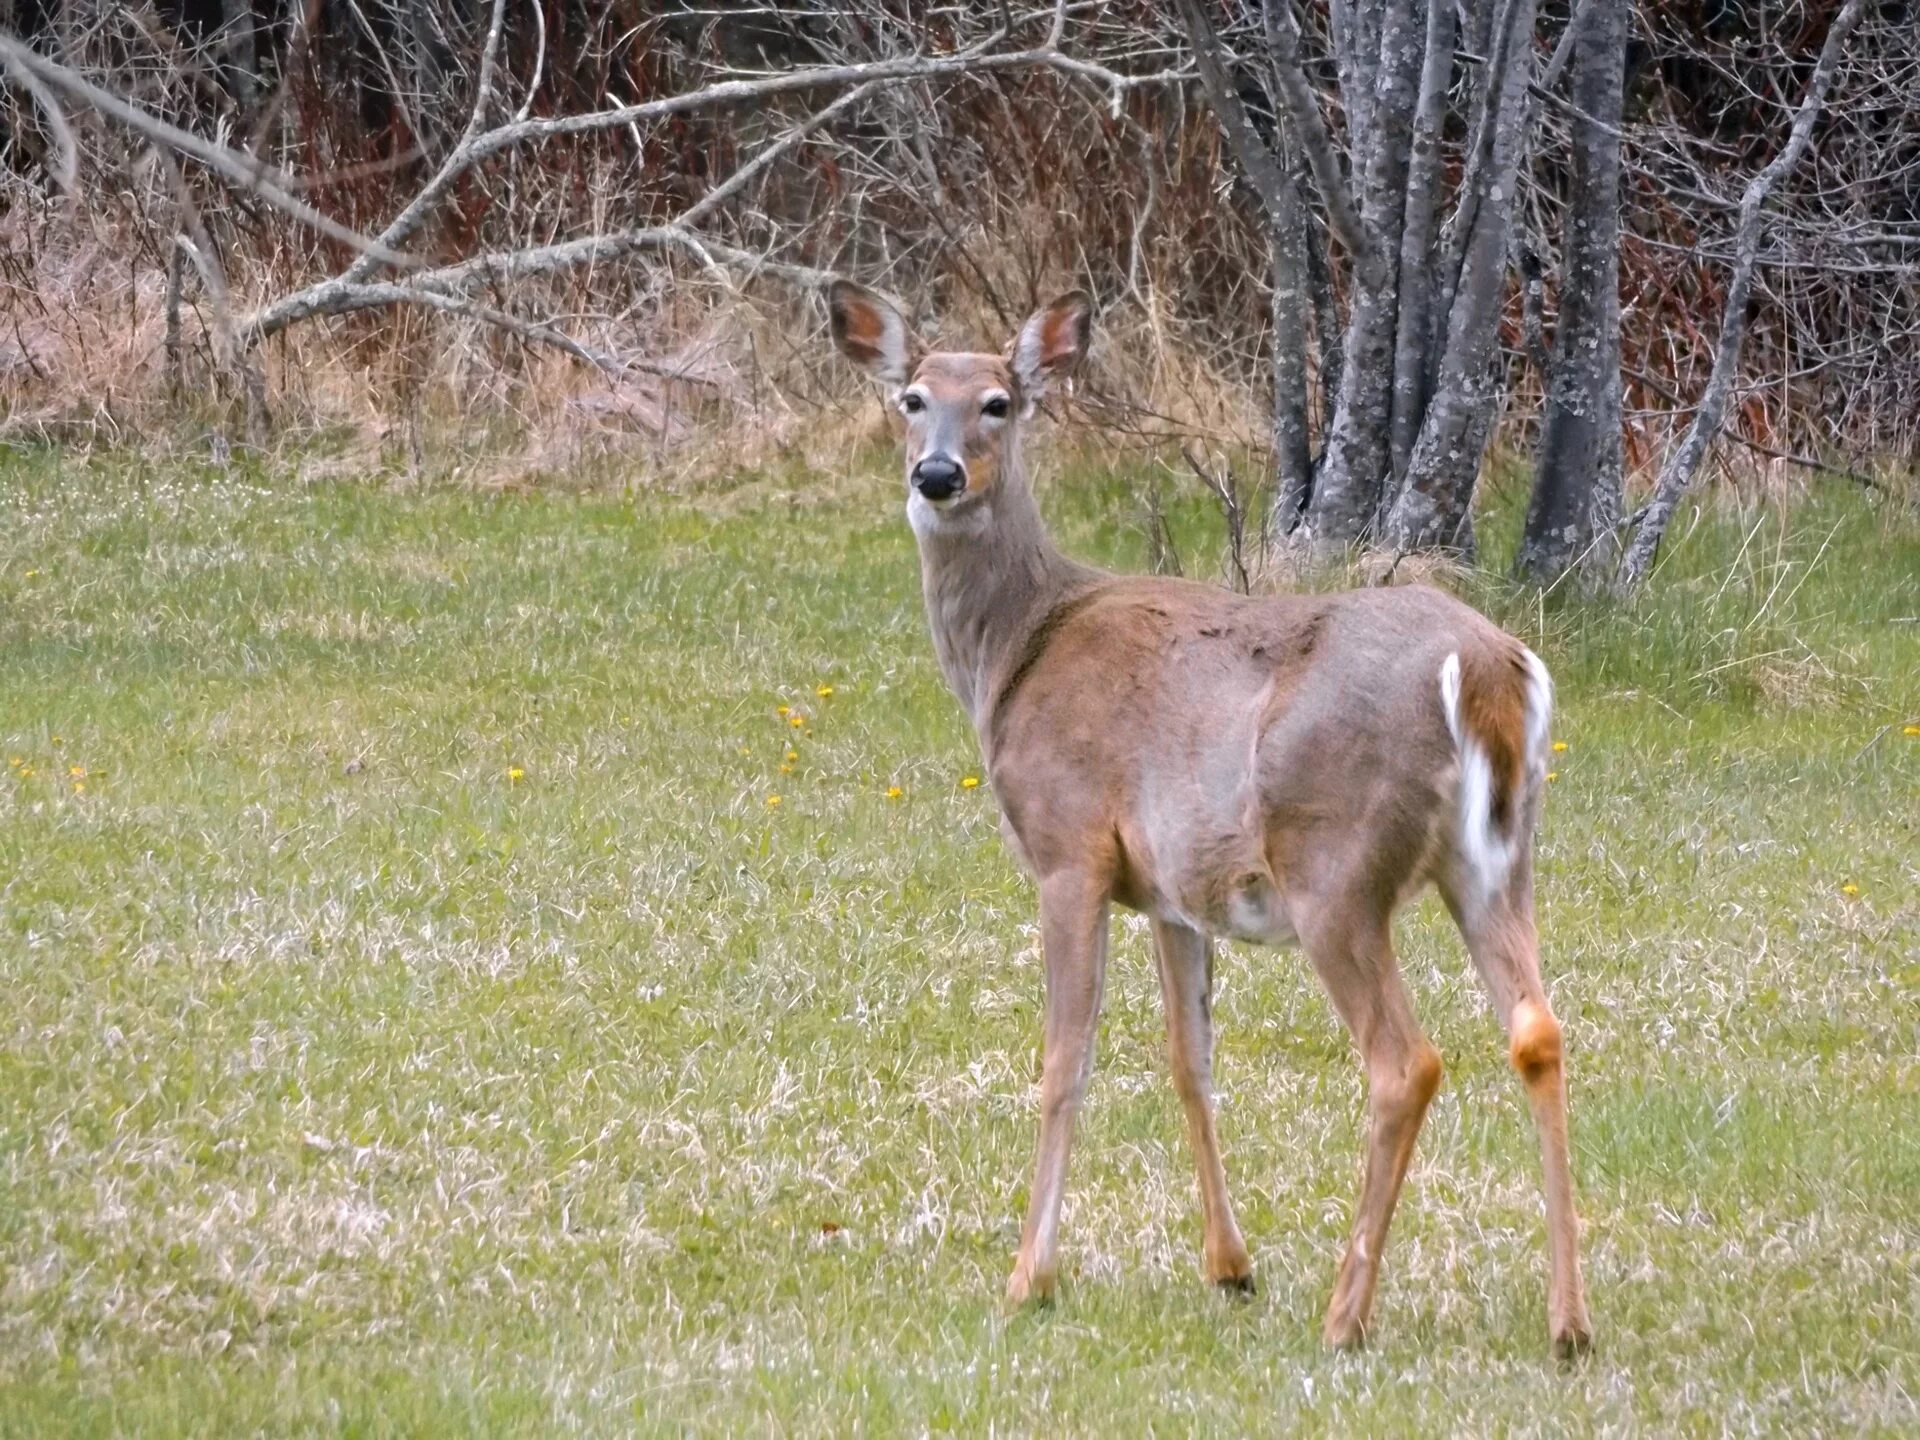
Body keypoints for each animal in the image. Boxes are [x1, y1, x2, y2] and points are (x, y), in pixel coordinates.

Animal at [825, 278, 1589, 1351]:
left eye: (999, 403)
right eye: (911, 398)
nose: (936, 474)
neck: (1017, 649)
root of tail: (1483, 670)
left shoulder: (1069, 846)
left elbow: (1065, 1059)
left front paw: (1029, 1276)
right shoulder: (1170, 891)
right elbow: (1191, 1060)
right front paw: (1230, 1266)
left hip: (1334, 864)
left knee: (1406, 1061)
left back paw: (1345, 1315)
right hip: (1497, 860)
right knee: (1538, 1029)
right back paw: (1569, 1321)